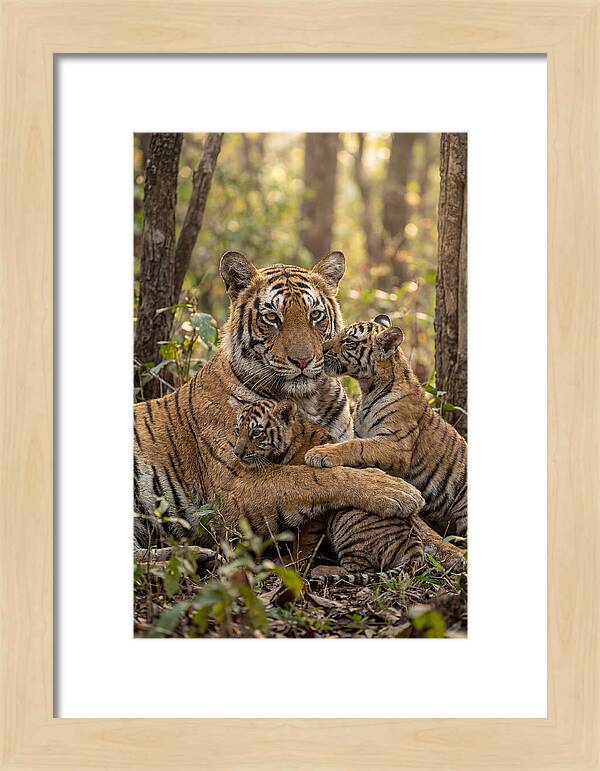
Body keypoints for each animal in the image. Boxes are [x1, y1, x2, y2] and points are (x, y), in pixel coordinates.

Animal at [134, 251, 426, 551]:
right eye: (272, 317)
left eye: (315, 315)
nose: (303, 361)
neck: (308, 399)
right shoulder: (234, 486)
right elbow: (310, 477)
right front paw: (395, 490)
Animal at [304, 314, 468, 539]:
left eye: (349, 342)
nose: (321, 348)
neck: (367, 389)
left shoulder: (396, 444)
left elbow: (357, 446)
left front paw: (320, 453)